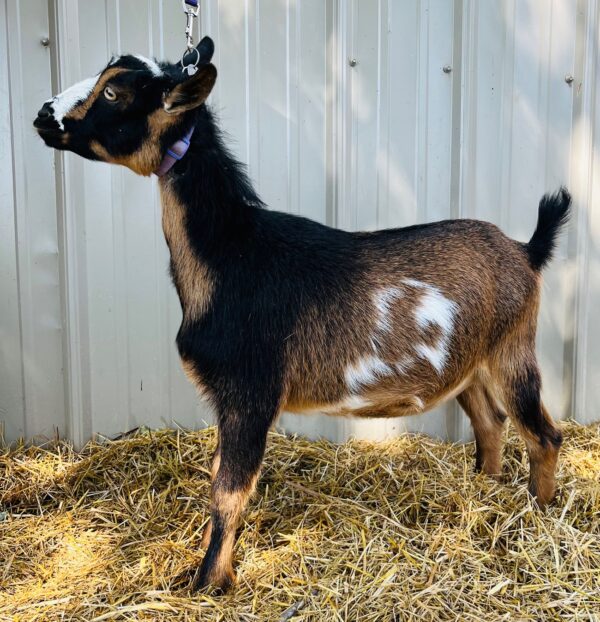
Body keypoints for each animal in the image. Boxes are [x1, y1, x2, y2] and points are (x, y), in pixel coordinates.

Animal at [35, 36, 568, 592]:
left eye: (114, 92)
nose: (43, 116)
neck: (232, 254)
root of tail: (526, 251)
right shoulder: (228, 399)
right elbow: (217, 475)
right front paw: (207, 563)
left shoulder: (251, 391)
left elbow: (229, 490)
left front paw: (208, 583)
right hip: (471, 366)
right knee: (491, 424)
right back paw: (485, 490)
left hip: (513, 349)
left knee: (544, 434)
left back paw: (538, 512)